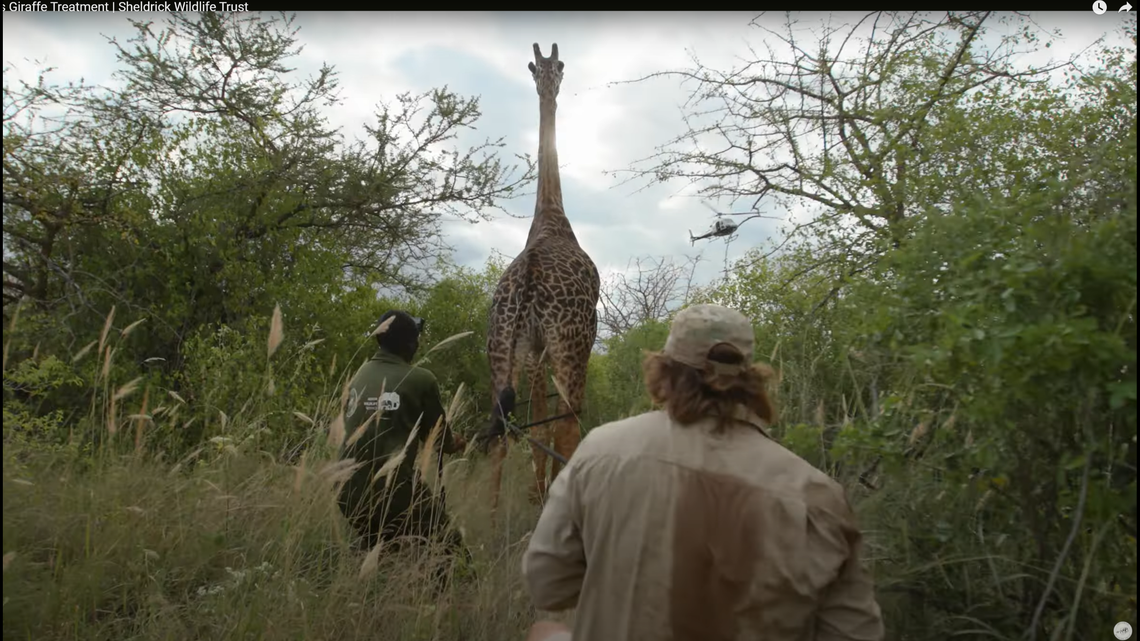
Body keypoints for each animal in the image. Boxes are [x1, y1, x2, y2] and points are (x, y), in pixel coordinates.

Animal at [480, 43, 600, 514]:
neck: (551, 216)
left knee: (502, 431)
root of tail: (529, 275)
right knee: (568, 425)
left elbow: (534, 425)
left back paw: (490, 518)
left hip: (501, 344)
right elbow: (550, 426)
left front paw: (535, 493)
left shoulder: (530, 348)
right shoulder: (562, 344)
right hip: (571, 343)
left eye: (551, 67)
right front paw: (541, 493)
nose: (549, 79)